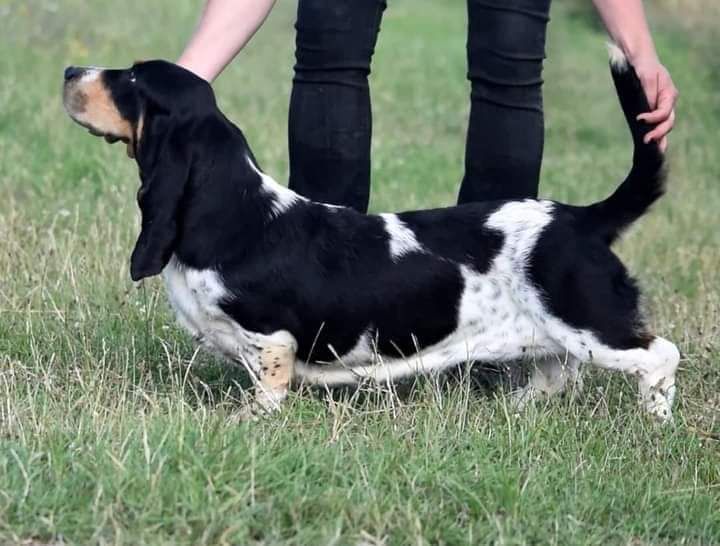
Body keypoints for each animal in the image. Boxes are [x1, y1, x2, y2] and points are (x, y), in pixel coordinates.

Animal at [63, 45, 680, 420]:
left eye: (132, 79)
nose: (69, 71)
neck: (234, 210)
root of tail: (581, 216)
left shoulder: (272, 340)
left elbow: (267, 390)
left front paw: (241, 420)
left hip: (592, 325)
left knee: (661, 356)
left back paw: (655, 422)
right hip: (557, 339)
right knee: (556, 377)